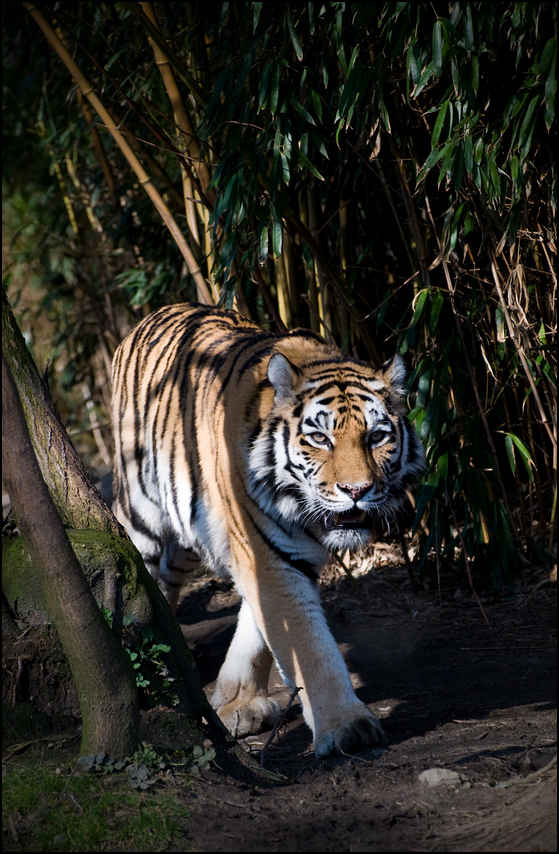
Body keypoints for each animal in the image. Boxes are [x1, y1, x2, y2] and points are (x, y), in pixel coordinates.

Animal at [111, 304, 426, 760]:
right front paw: (345, 726)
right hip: (139, 509)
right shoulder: (265, 553)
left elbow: (258, 630)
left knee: (168, 577)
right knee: (133, 562)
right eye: (320, 438)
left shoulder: (283, 557)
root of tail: (153, 314)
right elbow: (309, 647)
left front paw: (236, 704)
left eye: (377, 436)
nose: (357, 491)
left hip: (187, 535)